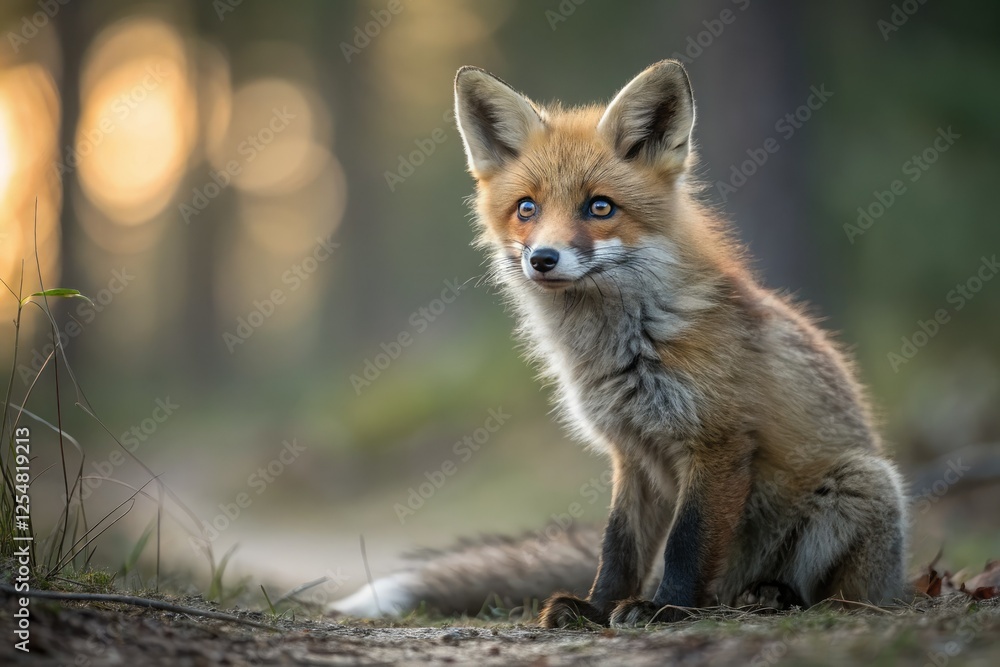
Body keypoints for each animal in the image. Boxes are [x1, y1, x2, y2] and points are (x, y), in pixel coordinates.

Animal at [329, 61, 908, 627]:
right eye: (526, 208)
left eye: (600, 207)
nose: (542, 258)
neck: (624, 348)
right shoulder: (631, 451)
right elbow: (618, 546)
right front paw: (597, 609)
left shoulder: (716, 440)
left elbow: (686, 543)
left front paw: (666, 609)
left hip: (863, 482)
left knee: (832, 593)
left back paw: (774, 596)